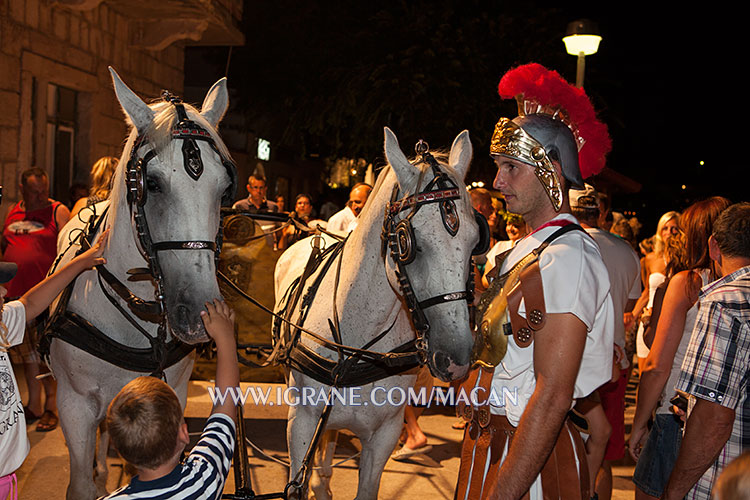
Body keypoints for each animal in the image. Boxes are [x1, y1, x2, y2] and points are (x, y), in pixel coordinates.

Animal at [48, 69, 235, 500]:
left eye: (223, 190)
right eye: (153, 183)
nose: (198, 314)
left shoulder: (173, 393)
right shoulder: (73, 405)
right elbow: (80, 483)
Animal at [276, 129, 482, 500]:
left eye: (476, 243)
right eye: (407, 242)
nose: (456, 358)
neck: (359, 344)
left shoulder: (385, 433)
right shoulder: (301, 421)